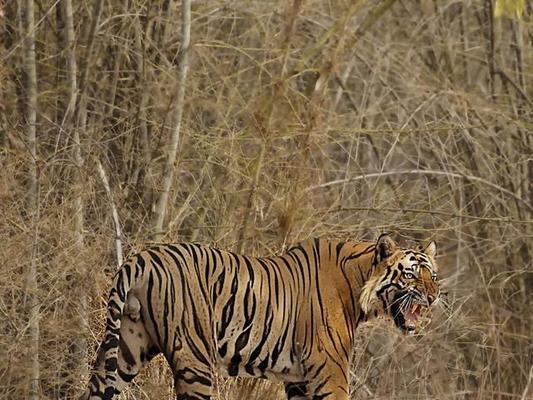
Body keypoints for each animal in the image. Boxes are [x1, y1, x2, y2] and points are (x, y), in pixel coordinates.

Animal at [82, 234, 440, 400]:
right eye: (410, 275)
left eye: (433, 275)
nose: (434, 296)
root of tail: (140, 259)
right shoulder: (330, 368)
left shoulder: (299, 379)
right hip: (194, 358)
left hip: (126, 350)